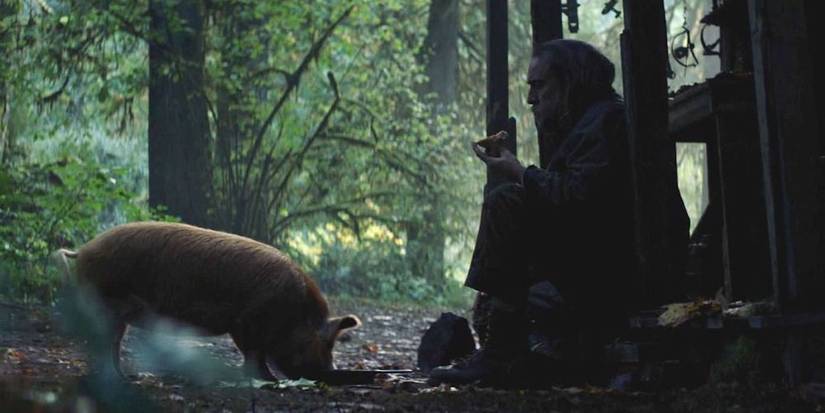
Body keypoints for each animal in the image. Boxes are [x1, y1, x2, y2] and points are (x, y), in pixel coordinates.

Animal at [56, 221, 359, 380]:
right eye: (325, 343)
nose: (331, 372)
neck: (293, 311)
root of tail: (83, 250)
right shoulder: (246, 322)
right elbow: (253, 353)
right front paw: (267, 380)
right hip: (104, 302)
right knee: (105, 342)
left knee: (110, 342)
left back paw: (126, 377)